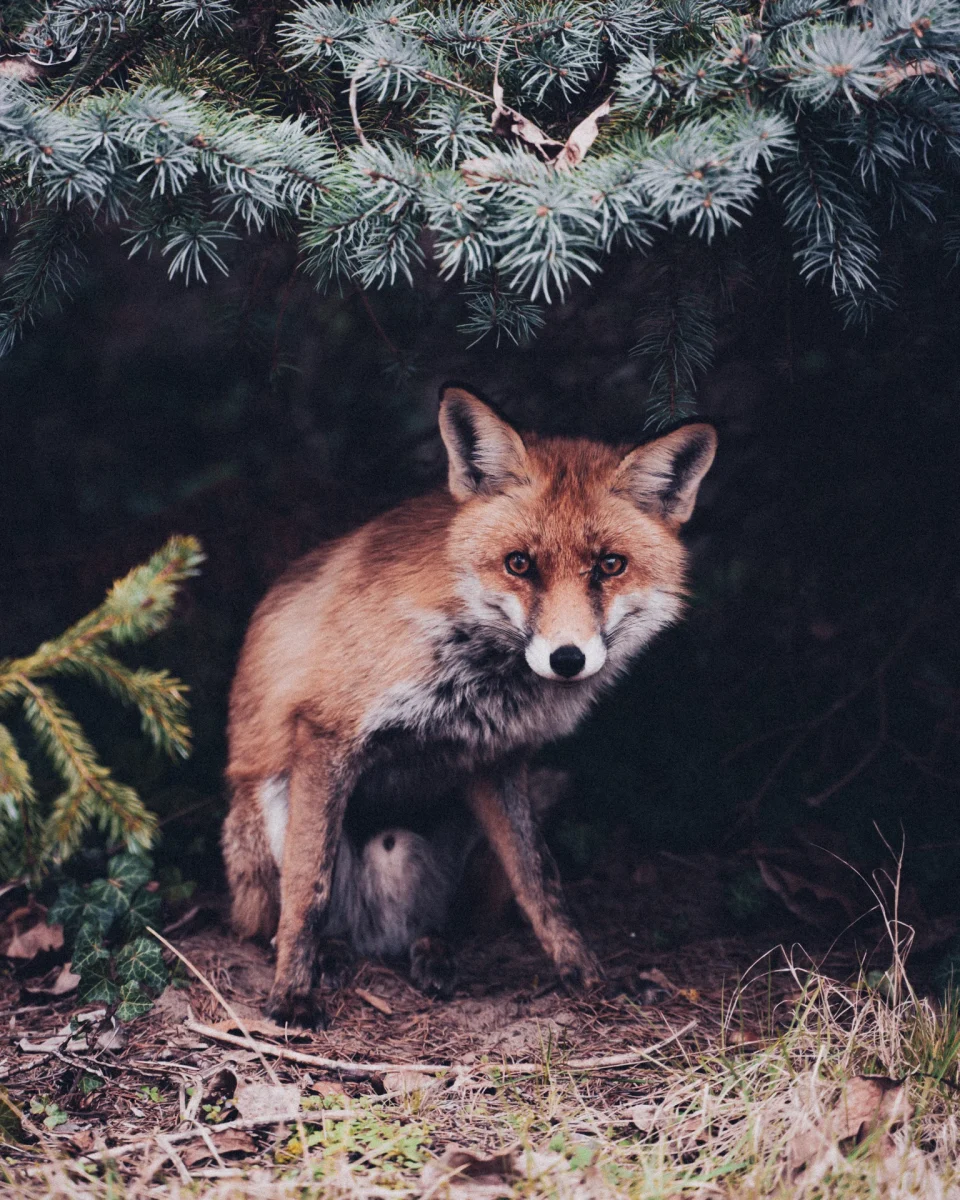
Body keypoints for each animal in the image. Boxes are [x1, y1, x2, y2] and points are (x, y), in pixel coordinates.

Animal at [223, 384, 717, 1028]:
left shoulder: (497, 759)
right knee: (288, 918)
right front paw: (291, 996)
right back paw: (326, 955)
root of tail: (380, 935)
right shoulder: (326, 734)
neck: (478, 671)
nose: (566, 658)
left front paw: (588, 977)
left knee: (444, 922)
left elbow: (542, 885)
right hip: (269, 801)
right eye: (519, 564)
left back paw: (433, 953)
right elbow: (308, 887)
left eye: (610, 565)